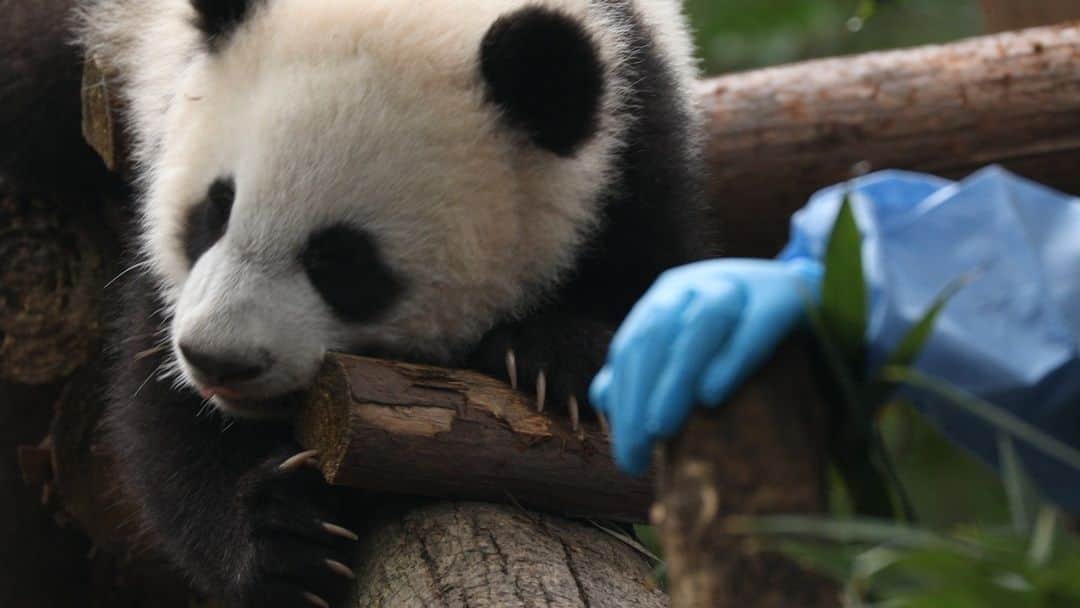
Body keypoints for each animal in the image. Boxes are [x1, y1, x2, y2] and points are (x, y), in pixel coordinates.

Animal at [9, 0, 712, 605]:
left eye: (341, 261)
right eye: (215, 208)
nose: (219, 361)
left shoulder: (631, 139)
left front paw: (557, 358)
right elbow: (160, 413)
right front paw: (282, 543)